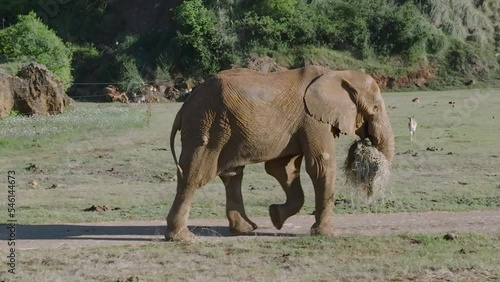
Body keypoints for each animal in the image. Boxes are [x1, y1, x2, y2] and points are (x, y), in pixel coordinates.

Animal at [167, 65, 394, 241]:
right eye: (375, 108)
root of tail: (183, 108)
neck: (337, 74)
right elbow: (321, 165)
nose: (365, 144)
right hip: (206, 125)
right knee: (195, 175)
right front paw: (328, 234)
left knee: (232, 176)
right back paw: (182, 237)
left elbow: (282, 169)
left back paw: (245, 229)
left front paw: (275, 217)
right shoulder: (312, 119)